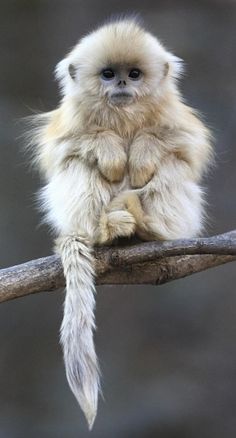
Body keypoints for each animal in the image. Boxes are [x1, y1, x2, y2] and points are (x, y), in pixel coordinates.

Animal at [27, 18, 212, 430]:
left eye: (135, 74)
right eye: (108, 74)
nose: (123, 84)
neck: (123, 115)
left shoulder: (176, 118)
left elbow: (185, 146)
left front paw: (141, 153)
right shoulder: (70, 122)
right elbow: (65, 148)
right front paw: (111, 150)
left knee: (172, 165)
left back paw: (147, 227)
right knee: (77, 164)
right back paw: (106, 230)